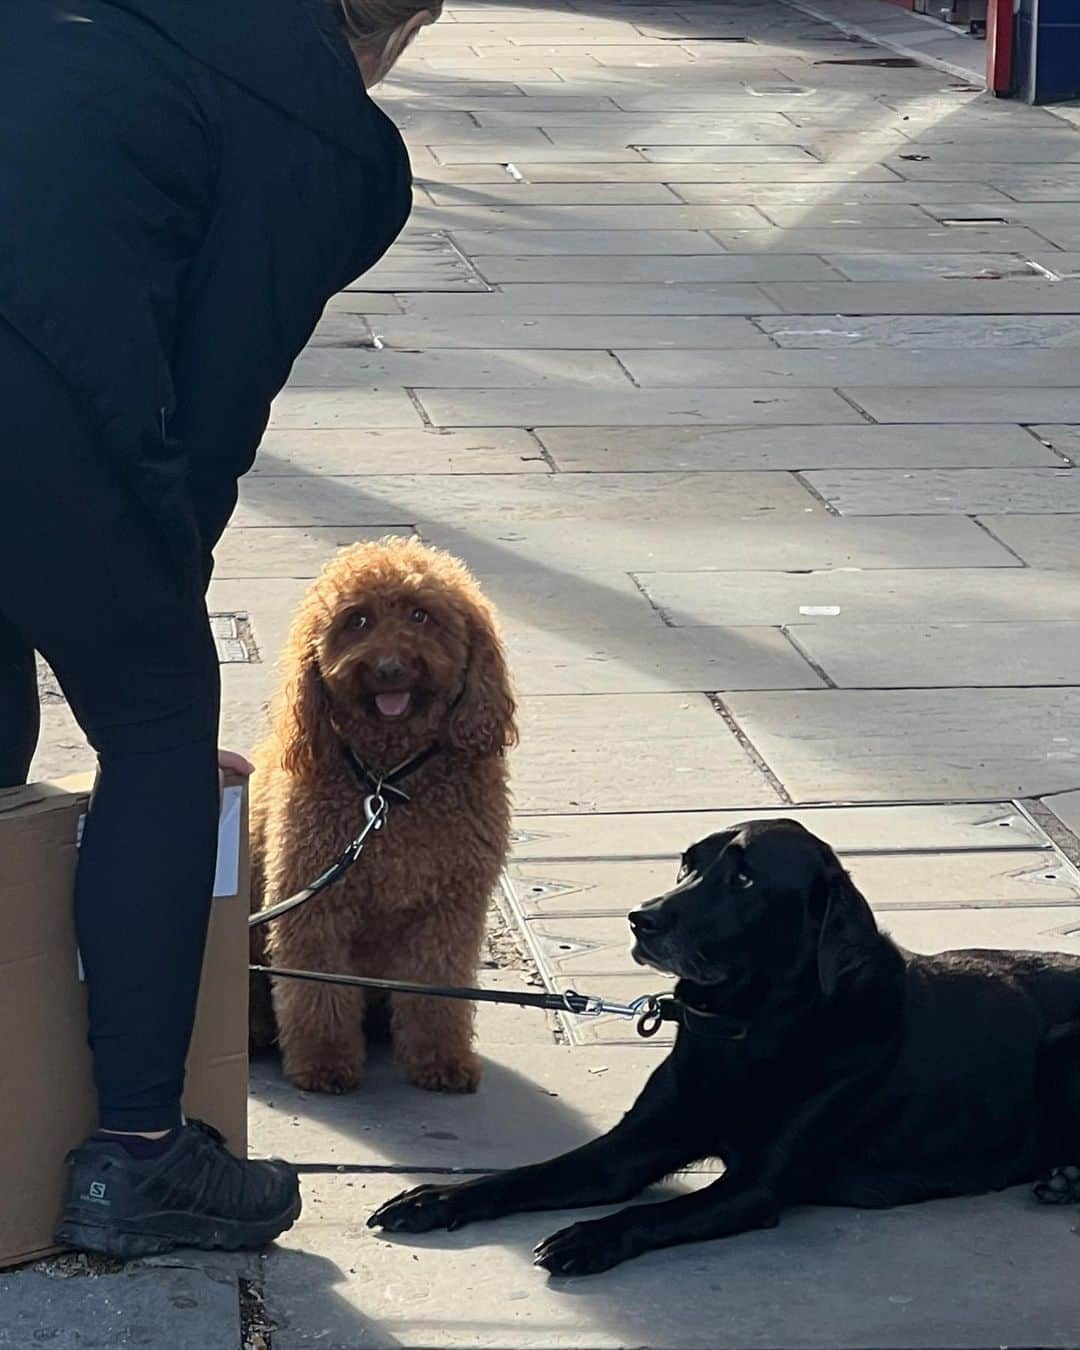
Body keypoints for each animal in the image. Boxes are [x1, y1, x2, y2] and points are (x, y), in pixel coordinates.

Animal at [248, 537, 515, 1096]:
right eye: (358, 620)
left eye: (420, 615)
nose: (390, 667)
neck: (388, 784)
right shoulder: (313, 907)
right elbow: (317, 995)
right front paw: (325, 1063)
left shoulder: (447, 911)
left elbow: (437, 991)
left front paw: (441, 1059)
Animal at [372, 815, 1080, 1269]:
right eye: (689, 863)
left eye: (744, 881)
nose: (641, 918)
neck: (748, 1033)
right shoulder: (626, 1150)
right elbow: (524, 1175)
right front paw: (435, 1197)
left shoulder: (754, 1187)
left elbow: (647, 1214)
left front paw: (587, 1238)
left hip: (1062, 1047)